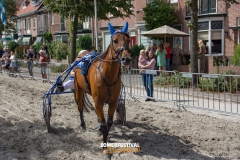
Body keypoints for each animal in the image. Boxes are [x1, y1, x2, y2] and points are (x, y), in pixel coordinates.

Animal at [73, 21, 131, 154]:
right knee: (80, 107)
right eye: (115, 40)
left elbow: (108, 123)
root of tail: (81, 55)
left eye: (128, 40)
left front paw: (104, 137)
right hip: (78, 89)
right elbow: (104, 125)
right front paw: (104, 147)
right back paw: (83, 125)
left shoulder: (113, 102)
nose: (126, 59)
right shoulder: (98, 101)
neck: (107, 75)